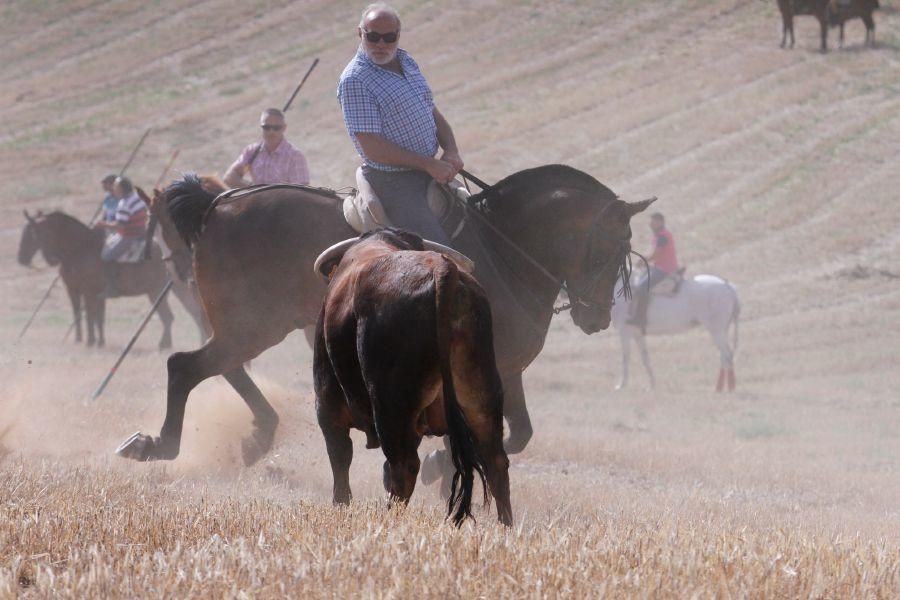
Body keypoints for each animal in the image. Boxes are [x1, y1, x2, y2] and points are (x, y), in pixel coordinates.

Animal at [18, 209, 204, 346]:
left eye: (32, 233)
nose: (21, 259)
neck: (80, 249)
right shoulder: (80, 291)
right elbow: (93, 316)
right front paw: (92, 341)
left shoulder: (87, 291)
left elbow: (90, 315)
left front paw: (90, 341)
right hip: (173, 289)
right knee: (190, 313)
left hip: (158, 291)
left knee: (173, 316)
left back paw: (165, 345)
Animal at [118, 165, 652, 468]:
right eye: (611, 247)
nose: (597, 317)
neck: (503, 248)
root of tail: (216, 204)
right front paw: (440, 463)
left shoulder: (506, 368)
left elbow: (518, 433)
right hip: (253, 324)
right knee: (187, 366)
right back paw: (160, 445)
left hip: (246, 326)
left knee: (219, 368)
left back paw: (255, 437)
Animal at [314, 229, 512, 524]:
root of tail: (442, 270)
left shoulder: (327, 409)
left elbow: (340, 467)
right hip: (481, 397)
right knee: (495, 461)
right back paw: (505, 526)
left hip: (391, 408)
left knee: (403, 467)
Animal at [612, 272, 740, 394]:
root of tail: (728, 285)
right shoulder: (637, 334)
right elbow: (645, 358)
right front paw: (652, 385)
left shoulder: (625, 333)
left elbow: (625, 358)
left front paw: (621, 385)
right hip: (722, 331)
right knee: (724, 356)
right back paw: (722, 387)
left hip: (717, 331)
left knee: (726, 355)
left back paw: (725, 388)